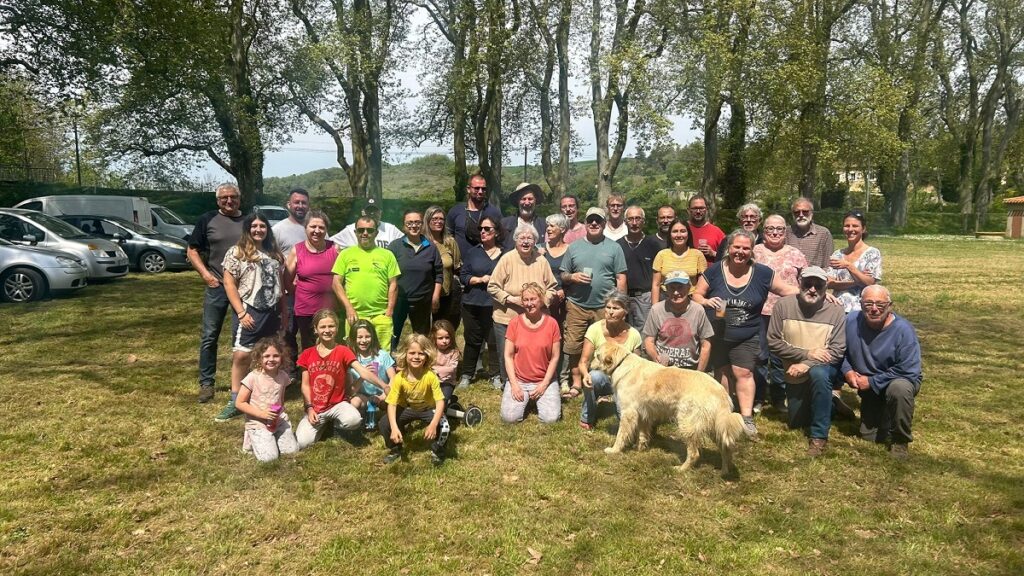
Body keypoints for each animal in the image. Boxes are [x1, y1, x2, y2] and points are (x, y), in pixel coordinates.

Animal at [590, 341, 745, 475]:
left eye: (597, 356)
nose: (589, 366)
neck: (621, 363)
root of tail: (721, 391)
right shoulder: (643, 414)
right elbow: (642, 434)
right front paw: (640, 449)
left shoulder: (629, 413)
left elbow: (621, 435)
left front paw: (614, 450)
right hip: (716, 427)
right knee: (726, 450)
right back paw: (724, 471)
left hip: (687, 424)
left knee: (695, 453)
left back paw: (682, 469)